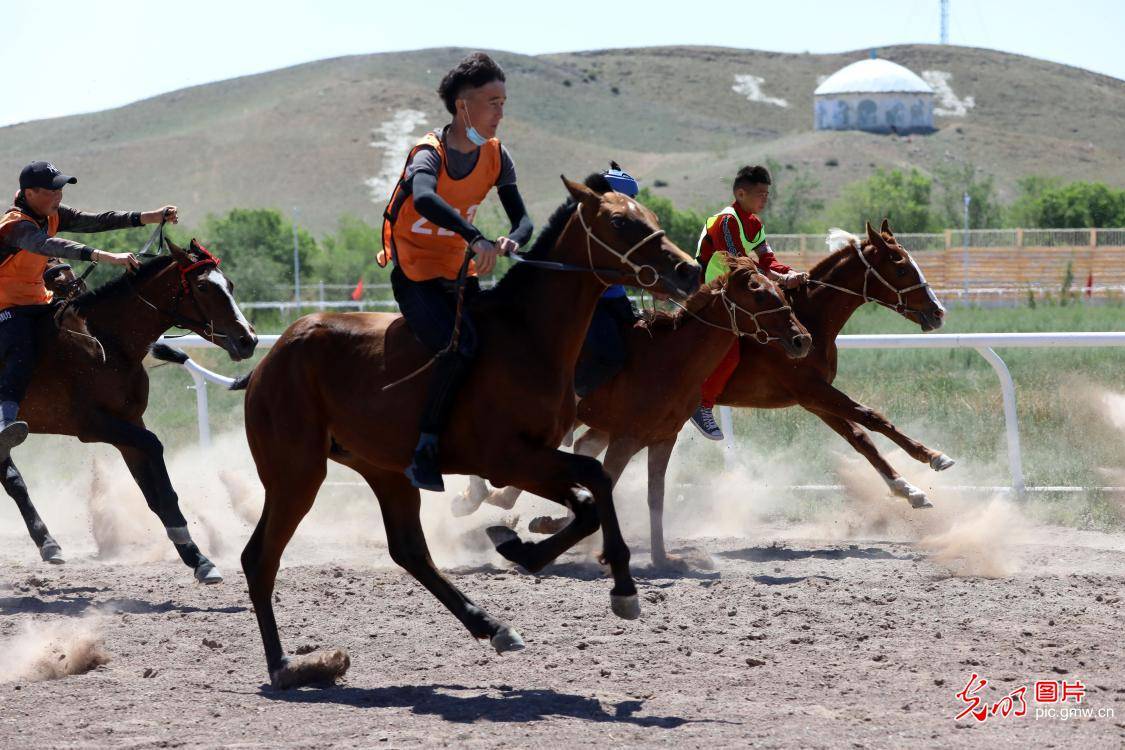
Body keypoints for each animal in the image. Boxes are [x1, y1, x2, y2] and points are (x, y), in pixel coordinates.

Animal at [4, 237, 255, 584]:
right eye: (203, 287)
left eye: (229, 284)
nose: (248, 339)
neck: (107, 342)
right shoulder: (93, 425)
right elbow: (155, 448)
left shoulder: (128, 424)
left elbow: (154, 492)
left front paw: (197, 557)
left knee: (11, 476)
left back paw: (48, 543)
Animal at [234, 177, 706, 692]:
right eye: (620, 222)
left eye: (653, 219)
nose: (690, 270)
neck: (529, 336)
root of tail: (271, 358)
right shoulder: (509, 458)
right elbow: (594, 485)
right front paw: (607, 581)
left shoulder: (536, 456)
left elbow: (588, 497)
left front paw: (524, 547)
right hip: (296, 475)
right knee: (259, 558)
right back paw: (283, 666)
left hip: (385, 472)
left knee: (409, 551)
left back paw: (491, 625)